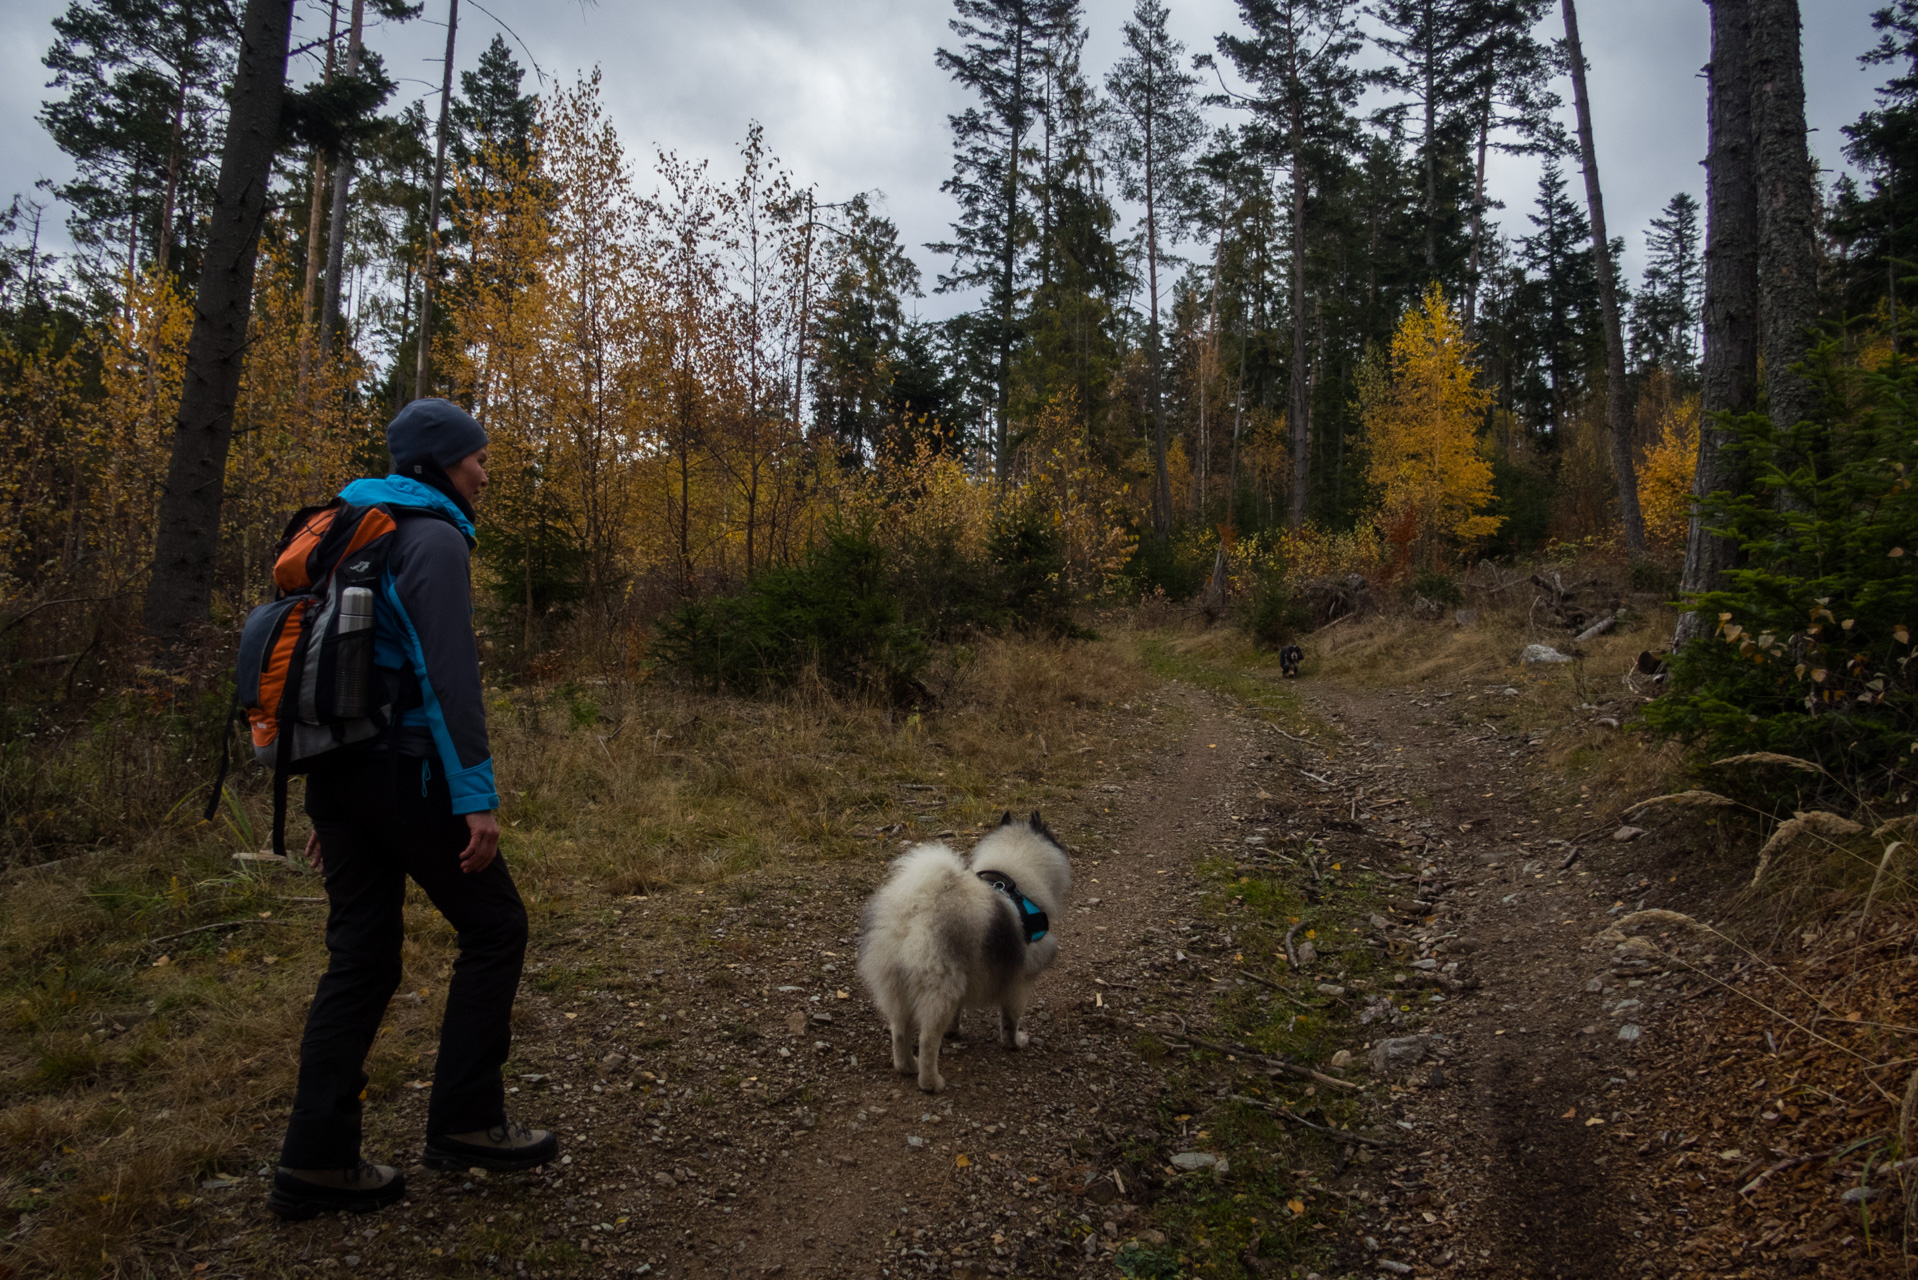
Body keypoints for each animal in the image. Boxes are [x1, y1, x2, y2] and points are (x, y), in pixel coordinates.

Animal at [859, 809, 1074, 1090]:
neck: (1014, 879)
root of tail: (916, 911)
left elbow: (959, 1014)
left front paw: (955, 1031)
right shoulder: (1020, 983)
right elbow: (1010, 1021)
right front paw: (1015, 1043)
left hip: (896, 987)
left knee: (899, 1031)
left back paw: (908, 1067)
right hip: (939, 990)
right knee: (927, 1040)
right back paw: (931, 1082)